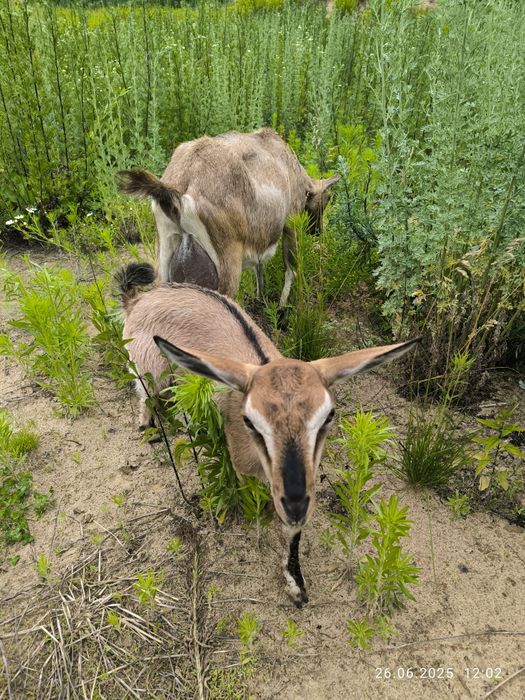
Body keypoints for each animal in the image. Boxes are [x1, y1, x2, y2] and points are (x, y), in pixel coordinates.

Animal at [117, 128, 339, 305]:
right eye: (327, 199)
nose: (317, 231)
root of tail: (176, 194)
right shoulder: (290, 222)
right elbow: (290, 269)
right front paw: (282, 308)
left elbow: (259, 270)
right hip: (226, 267)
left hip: (164, 260)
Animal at [117, 262, 418, 606]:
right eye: (250, 421)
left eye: (328, 415)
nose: (296, 504)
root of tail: (139, 300)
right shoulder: (245, 468)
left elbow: (292, 532)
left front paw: (296, 584)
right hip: (146, 369)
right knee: (145, 394)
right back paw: (148, 427)